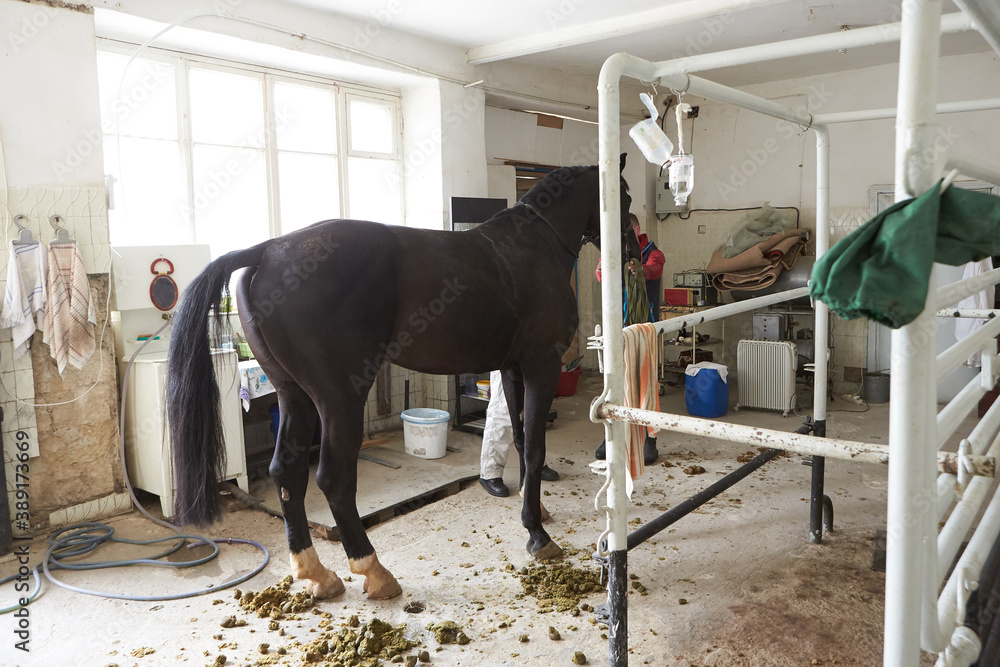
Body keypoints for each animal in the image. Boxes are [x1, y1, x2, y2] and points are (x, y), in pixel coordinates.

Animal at [166, 156, 636, 601]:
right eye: (623, 195)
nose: (631, 249)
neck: (533, 242)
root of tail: (267, 250)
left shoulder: (513, 368)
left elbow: (520, 439)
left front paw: (532, 512)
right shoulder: (542, 366)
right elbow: (536, 447)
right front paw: (538, 534)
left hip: (293, 396)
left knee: (287, 473)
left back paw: (317, 573)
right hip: (339, 399)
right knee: (333, 478)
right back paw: (373, 570)